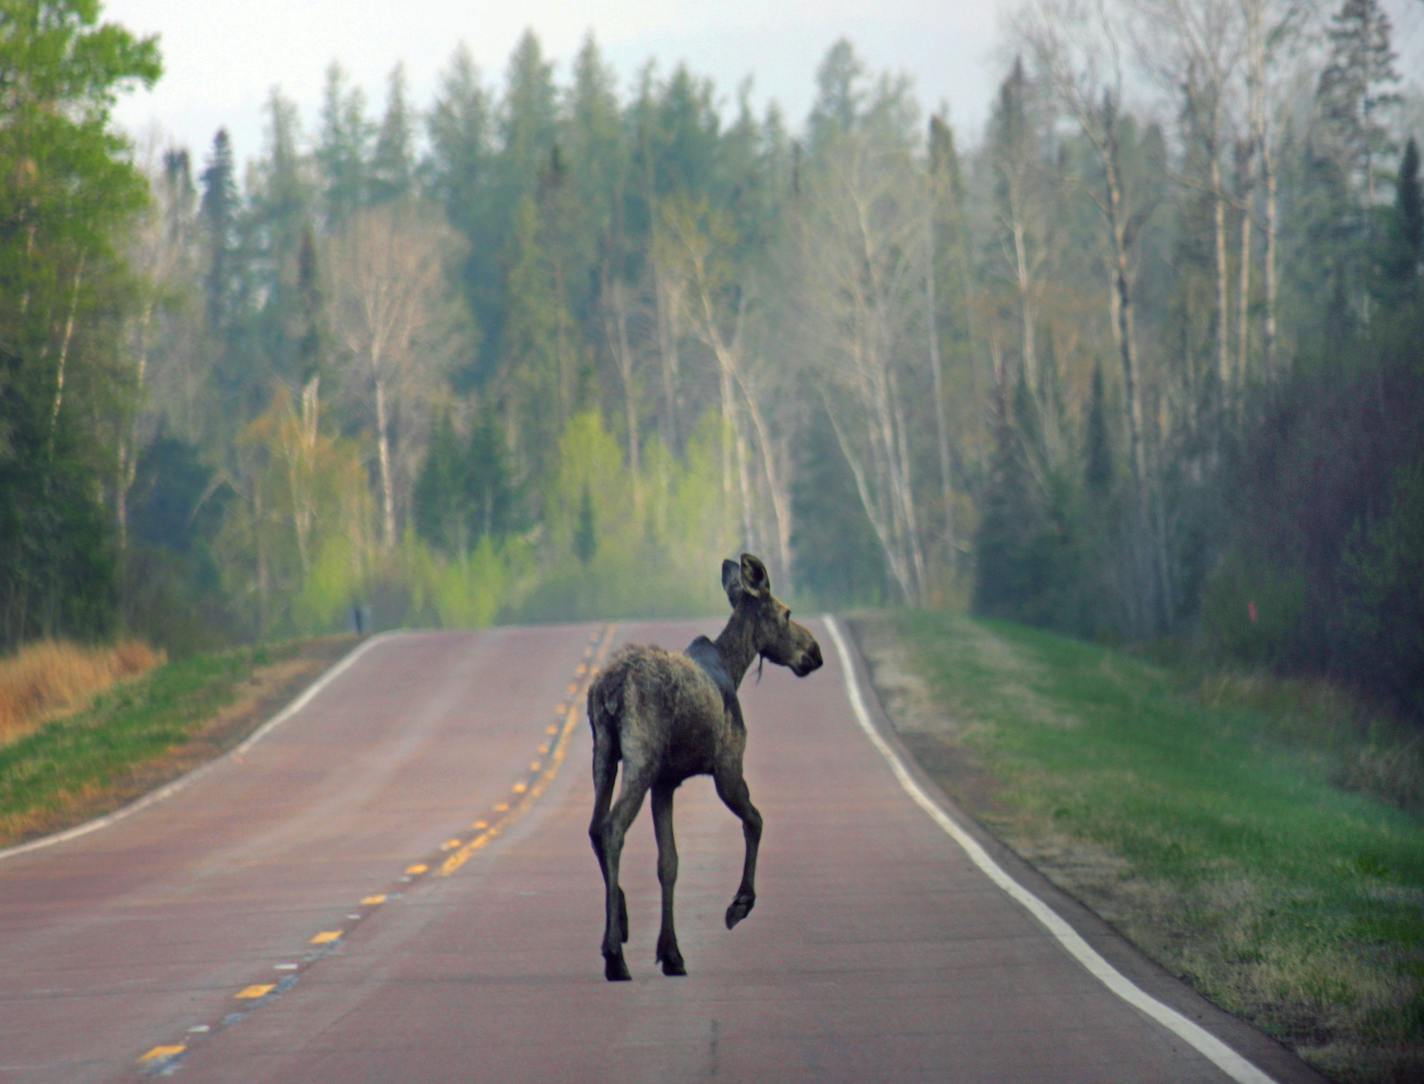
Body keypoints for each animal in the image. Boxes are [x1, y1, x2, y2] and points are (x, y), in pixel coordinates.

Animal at [583, 552, 820, 974]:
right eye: (787, 612)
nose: (815, 652)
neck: (734, 667)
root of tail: (610, 688)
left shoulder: (666, 782)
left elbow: (669, 862)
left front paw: (670, 952)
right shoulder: (727, 767)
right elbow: (756, 820)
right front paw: (739, 904)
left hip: (603, 753)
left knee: (595, 827)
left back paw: (621, 922)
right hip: (640, 758)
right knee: (612, 827)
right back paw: (614, 954)